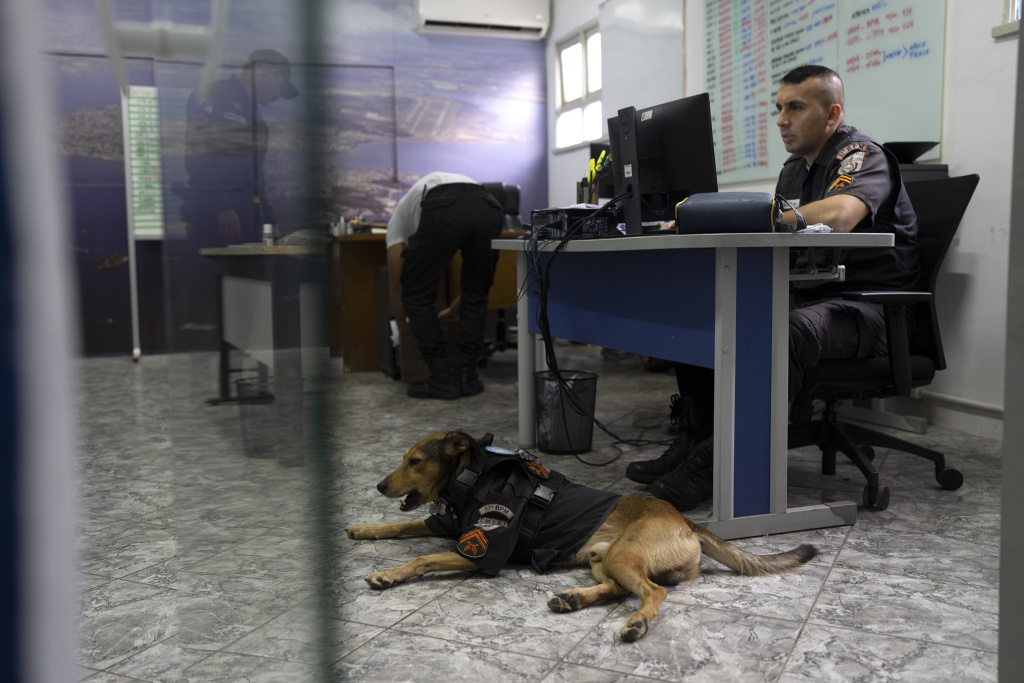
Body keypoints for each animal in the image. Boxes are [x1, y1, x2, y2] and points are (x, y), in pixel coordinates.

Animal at [348, 430, 819, 643]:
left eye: (415, 461)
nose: (379, 487)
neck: (474, 475)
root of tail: (688, 524)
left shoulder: (481, 548)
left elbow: (422, 558)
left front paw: (389, 574)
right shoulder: (446, 525)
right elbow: (400, 526)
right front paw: (364, 528)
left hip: (624, 555)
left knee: (652, 592)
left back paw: (636, 624)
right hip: (601, 558)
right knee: (619, 589)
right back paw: (572, 599)